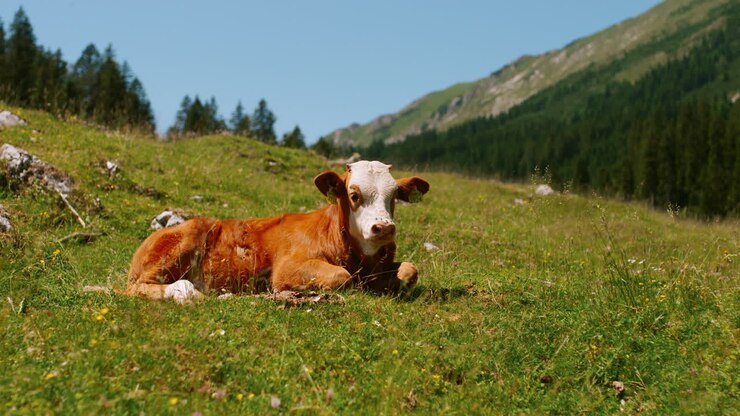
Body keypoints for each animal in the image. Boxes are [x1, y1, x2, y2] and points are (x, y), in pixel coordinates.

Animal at [125, 161, 430, 303]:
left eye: (394, 196)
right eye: (354, 195)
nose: (384, 228)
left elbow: (410, 269)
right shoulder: (287, 268)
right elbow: (341, 277)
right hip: (179, 247)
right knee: (138, 288)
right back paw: (187, 292)